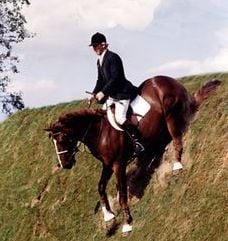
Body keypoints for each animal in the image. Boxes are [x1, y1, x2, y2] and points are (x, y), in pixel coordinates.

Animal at [45, 75, 221, 233]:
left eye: (62, 139)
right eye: (53, 142)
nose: (65, 164)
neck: (100, 132)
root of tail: (170, 80)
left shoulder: (118, 164)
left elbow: (123, 193)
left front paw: (127, 224)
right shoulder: (107, 164)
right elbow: (101, 187)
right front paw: (109, 216)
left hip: (171, 117)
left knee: (177, 141)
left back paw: (176, 166)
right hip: (158, 131)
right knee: (159, 149)